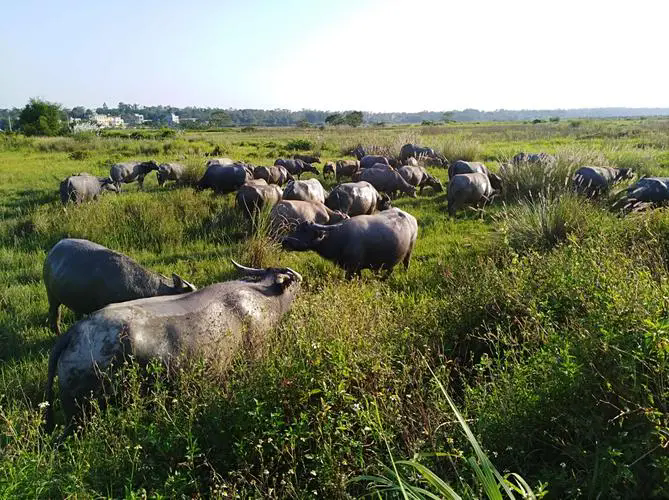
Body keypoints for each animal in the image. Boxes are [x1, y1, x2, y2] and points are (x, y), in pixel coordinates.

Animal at [282, 205, 418, 280]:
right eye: (296, 228)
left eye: (305, 230)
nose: (285, 241)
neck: (340, 239)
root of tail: (412, 218)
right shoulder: (355, 269)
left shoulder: (352, 268)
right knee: (390, 269)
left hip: (409, 250)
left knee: (406, 263)